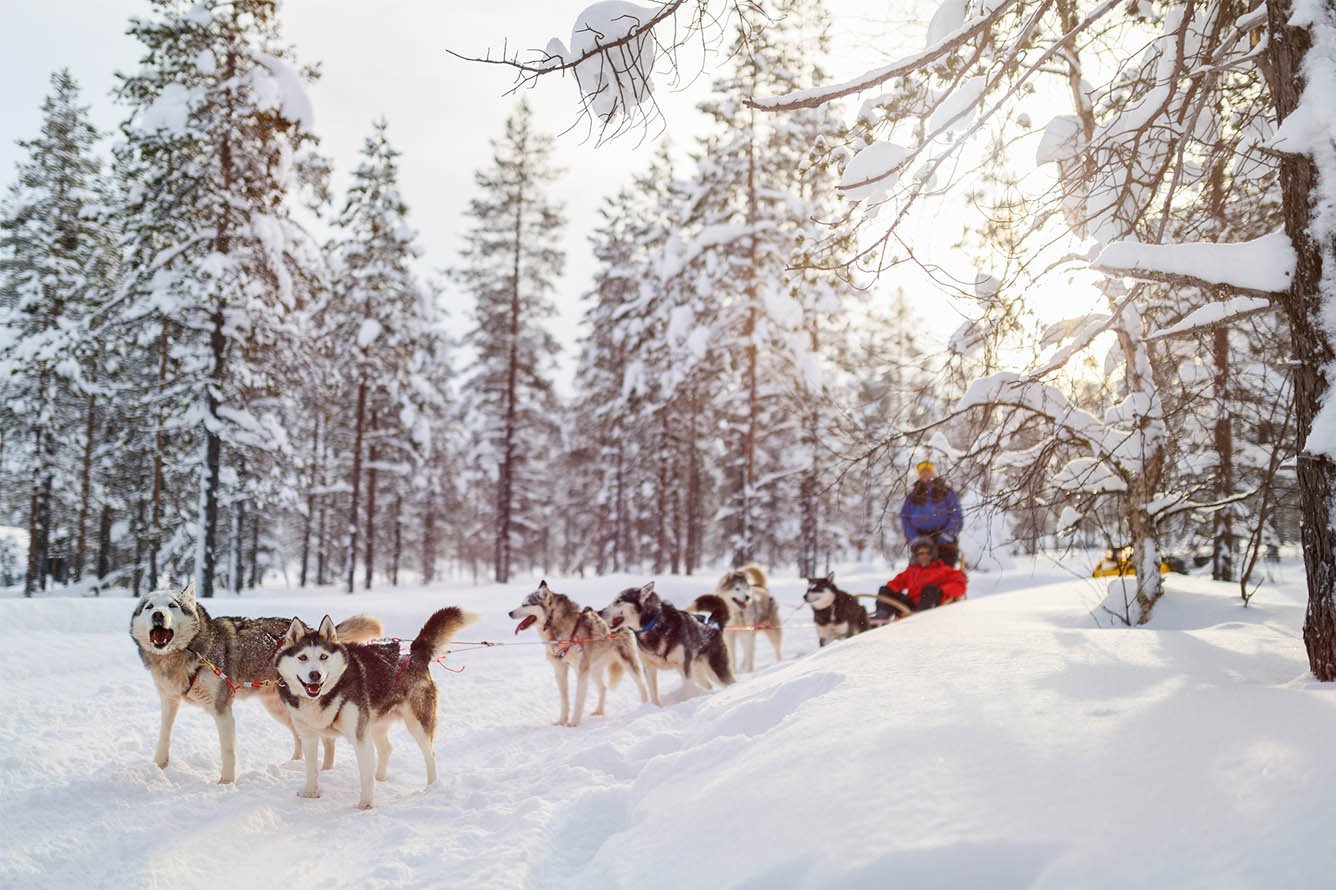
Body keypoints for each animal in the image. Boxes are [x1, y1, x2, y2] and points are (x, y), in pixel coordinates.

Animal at [127, 574, 382, 775]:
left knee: (326, 741)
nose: (158, 615)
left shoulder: (222, 709)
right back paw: (294, 764)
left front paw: (226, 783)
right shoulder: (169, 700)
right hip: (280, 709)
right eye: (149, 607)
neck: (188, 653)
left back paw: (325, 770)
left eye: (172, 606)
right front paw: (158, 767)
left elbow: (228, 751)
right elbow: (164, 736)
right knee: (301, 736)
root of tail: (313, 630)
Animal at [273, 606, 478, 807]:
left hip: (416, 724)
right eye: (302, 657)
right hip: (376, 724)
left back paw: (431, 787)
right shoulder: (308, 737)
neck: (325, 695)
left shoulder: (360, 737)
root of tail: (414, 654)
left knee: (430, 754)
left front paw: (365, 805)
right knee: (387, 748)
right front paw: (310, 793)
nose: (315, 675)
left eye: (324, 656)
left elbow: (365, 775)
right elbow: (311, 768)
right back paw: (380, 778)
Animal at [507, 579, 649, 726]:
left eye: (526, 604)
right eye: (522, 603)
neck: (556, 624)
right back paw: (599, 711)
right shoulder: (560, 669)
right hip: (593, 669)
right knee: (603, 688)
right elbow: (564, 699)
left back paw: (645, 706)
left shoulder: (581, 670)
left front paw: (574, 722)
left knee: (642, 684)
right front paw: (562, 721)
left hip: (626, 663)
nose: (509, 613)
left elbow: (578, 699)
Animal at [601, 579, 737, 705]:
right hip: (697, 672)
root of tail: (713, 626)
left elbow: (688, 692)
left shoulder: (684, 668)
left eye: (618, 601)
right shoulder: (649, 669)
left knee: (730, 682)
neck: (654, 625)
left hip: (716, 671)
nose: (599, 612)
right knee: (708, 685)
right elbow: (654, 696)